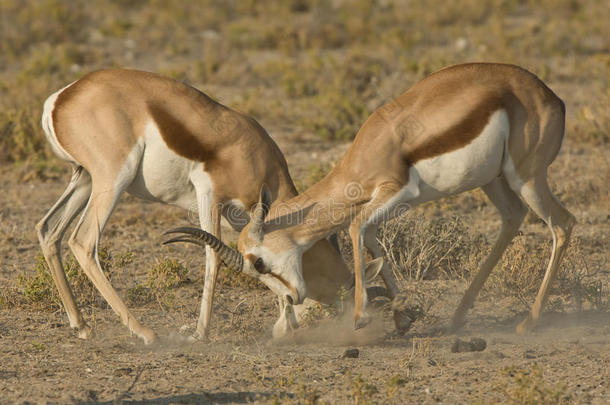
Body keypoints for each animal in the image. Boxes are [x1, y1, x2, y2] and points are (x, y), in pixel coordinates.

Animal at [38, 68, 390, 342]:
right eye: (340, 301)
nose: (295, 297)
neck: (253, 154)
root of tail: (61, 98)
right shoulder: (208, 192)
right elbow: (213, 257)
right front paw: (200, 333)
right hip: (112, 180)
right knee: (83, 241)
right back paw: (145, 333)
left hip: (84, 178)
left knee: (48, 230)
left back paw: (82, 327)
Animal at [175, 63, 568, 332]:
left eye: (257, 263)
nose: (292, 298)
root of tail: (552, 97)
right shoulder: (382, 204)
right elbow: (372, 240)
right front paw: (402, 316)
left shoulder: (396, 191)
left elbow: (355, 229)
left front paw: (360, 318)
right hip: (494, 181)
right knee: (513, 218)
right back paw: (457, 317)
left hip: (527, 178)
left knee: (563, 224)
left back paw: (529, 322)